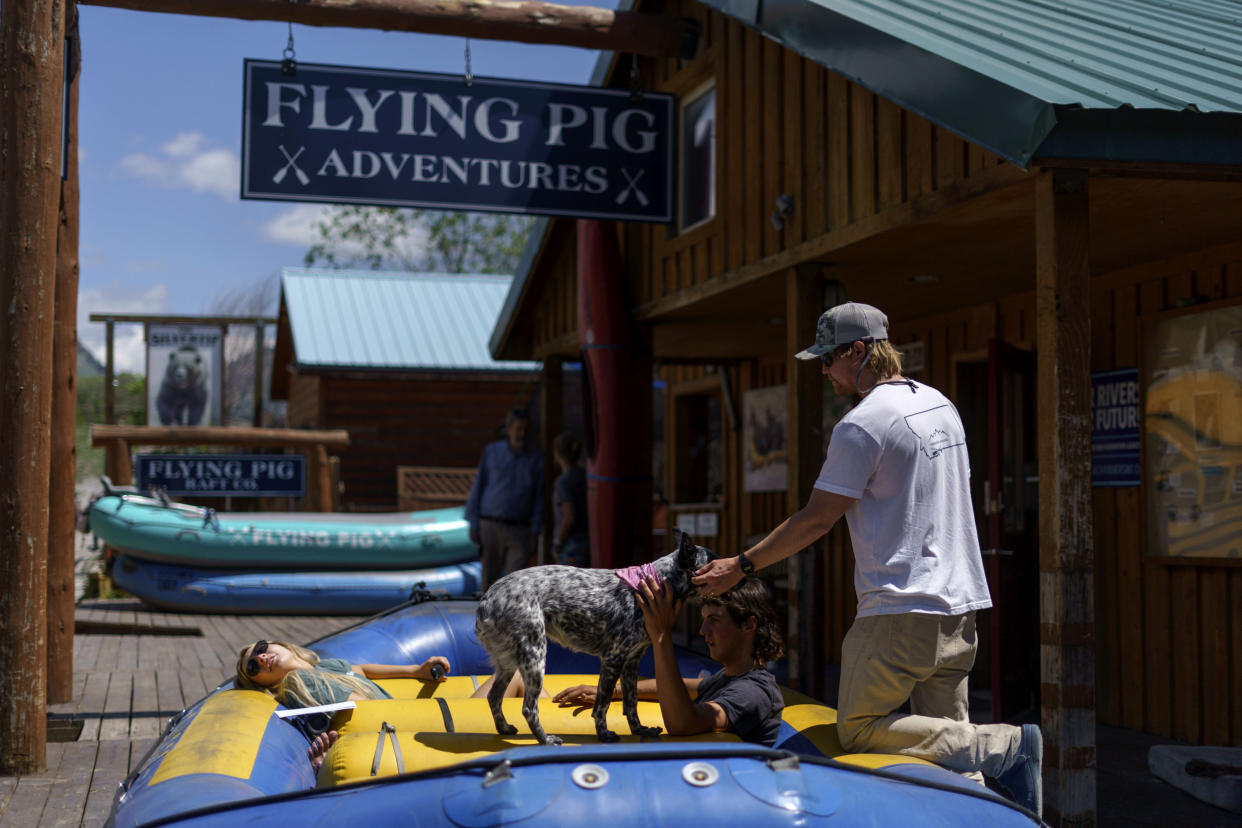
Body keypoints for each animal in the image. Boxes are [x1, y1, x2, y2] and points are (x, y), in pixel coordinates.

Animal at [474, 531, 720, 744]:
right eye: (714, 561)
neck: (655, 582)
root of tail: (487, 600)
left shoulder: (631, 662)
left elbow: (631, 704)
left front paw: (639, 730)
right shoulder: (613, 660)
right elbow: (603, 705)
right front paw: (603, 734)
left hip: (509, 664)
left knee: (494, 697)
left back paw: (504, 728)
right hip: (534, 658)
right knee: (529, 708)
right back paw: (545, 739)